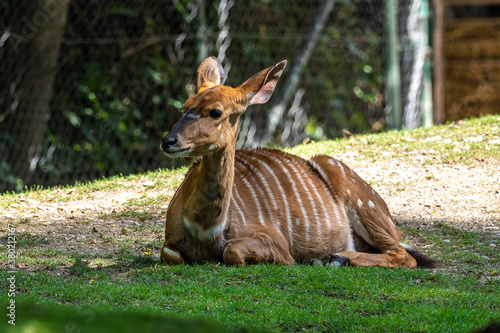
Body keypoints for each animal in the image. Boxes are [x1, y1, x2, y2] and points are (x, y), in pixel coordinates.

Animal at [161, 57, 438, 268]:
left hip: (362, 201)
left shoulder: (277, 244)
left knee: (403, 255)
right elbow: (171, 254)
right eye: (185, 106)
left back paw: (336, 258)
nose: (168, 141)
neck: (206, 226)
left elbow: (233, 252)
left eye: (215, 112)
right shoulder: (170, 245)